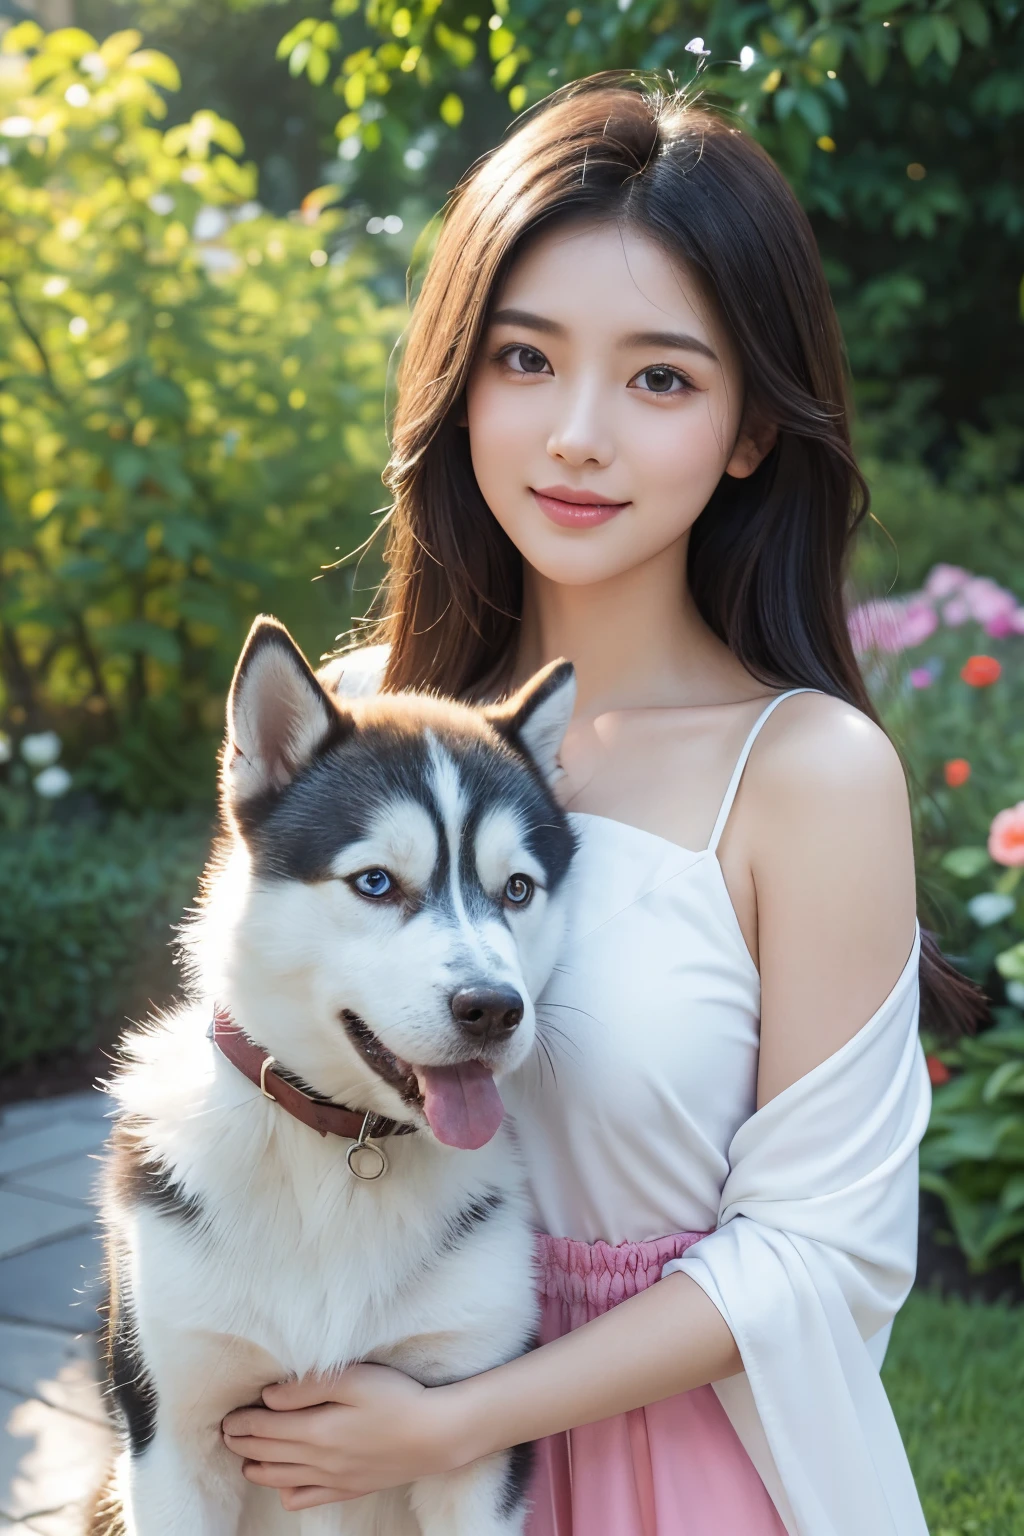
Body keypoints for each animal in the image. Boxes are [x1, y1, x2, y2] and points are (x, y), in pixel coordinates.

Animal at [90, 620, 577, 1536]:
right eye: (376, 883)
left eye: (517, 889)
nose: (493, 1010)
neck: (342, 1153)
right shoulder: (173, 1432)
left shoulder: (474, 1428)